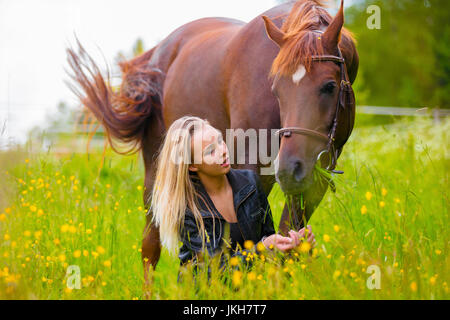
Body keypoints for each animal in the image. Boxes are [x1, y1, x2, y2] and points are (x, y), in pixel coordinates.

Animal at [67, 0, 358, 284]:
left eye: (329, 86)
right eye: (276, 90)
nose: (289, 169)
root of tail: (157, 54)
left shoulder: (315, 179)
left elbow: (290, 242)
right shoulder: (249, 167)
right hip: (156, 171)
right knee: (151, 247)